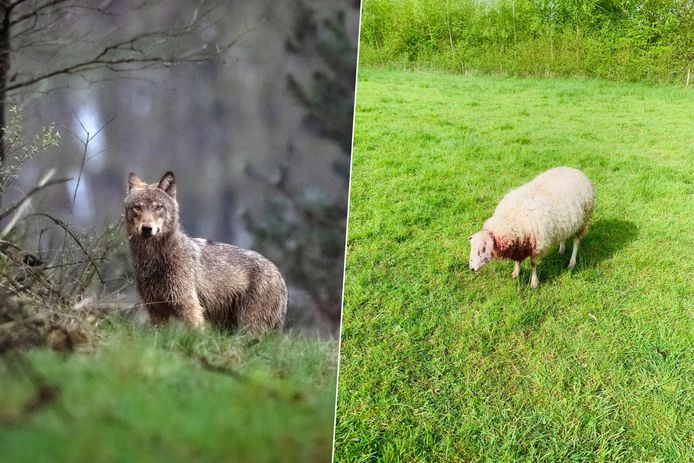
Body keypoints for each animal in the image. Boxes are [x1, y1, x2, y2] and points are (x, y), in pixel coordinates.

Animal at [125, 171, 287, 332]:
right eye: (138, 207)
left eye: (158, 207)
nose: (147, 228)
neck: (153, 260)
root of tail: (279, 274)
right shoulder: (156, 310)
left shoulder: (189, 306)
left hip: (248, 326)